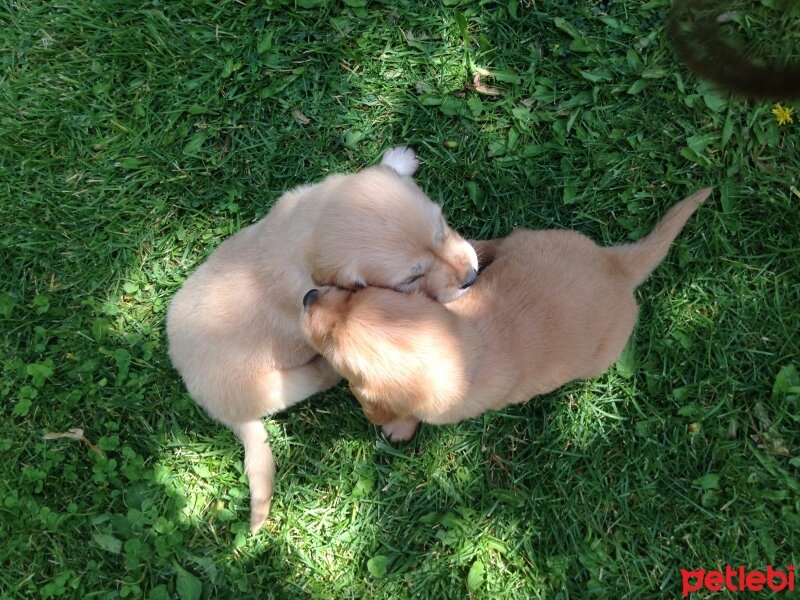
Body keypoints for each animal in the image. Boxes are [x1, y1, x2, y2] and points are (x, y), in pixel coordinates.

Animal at [162, 148, 476, 532]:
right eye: (410, 278)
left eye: (442, 227)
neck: (301, 233)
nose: (472, 276)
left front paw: (397, 160)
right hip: (273, 386)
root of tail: (204, 399)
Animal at [302, 190, 712, 442]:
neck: (466, 348)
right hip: (536, 238)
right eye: (358, 295)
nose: (308, 296)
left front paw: (396, 427)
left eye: (332, 347)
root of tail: (617, 266)